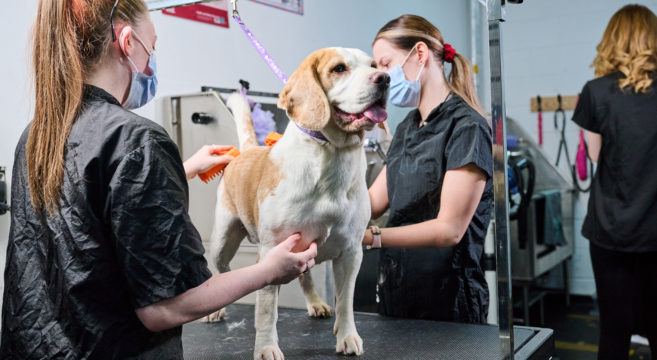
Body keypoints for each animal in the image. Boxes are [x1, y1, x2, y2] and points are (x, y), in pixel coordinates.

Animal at [208, 48, 386, 360]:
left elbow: (345, 301)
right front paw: (266, 347)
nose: (384, 79)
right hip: (222, 242)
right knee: (220, 270)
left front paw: (347, 336)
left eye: (374, 65)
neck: (331, 155)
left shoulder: (351, 253)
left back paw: (316, 303)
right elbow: (267, 311)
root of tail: (247, 151)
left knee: (306, 279)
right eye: (339, 69)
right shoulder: (271, 252)